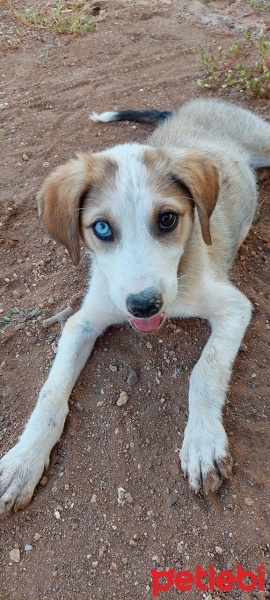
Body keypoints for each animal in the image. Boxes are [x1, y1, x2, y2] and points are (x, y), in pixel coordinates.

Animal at [1, 98, 268, 516]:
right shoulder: (82, 322)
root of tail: (194, 104)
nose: (144, 305)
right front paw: (22, 461)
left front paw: (202, 443)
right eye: (102, 228)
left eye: (168, 219)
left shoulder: (235, 307)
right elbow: (50, 394)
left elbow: (205, 371)